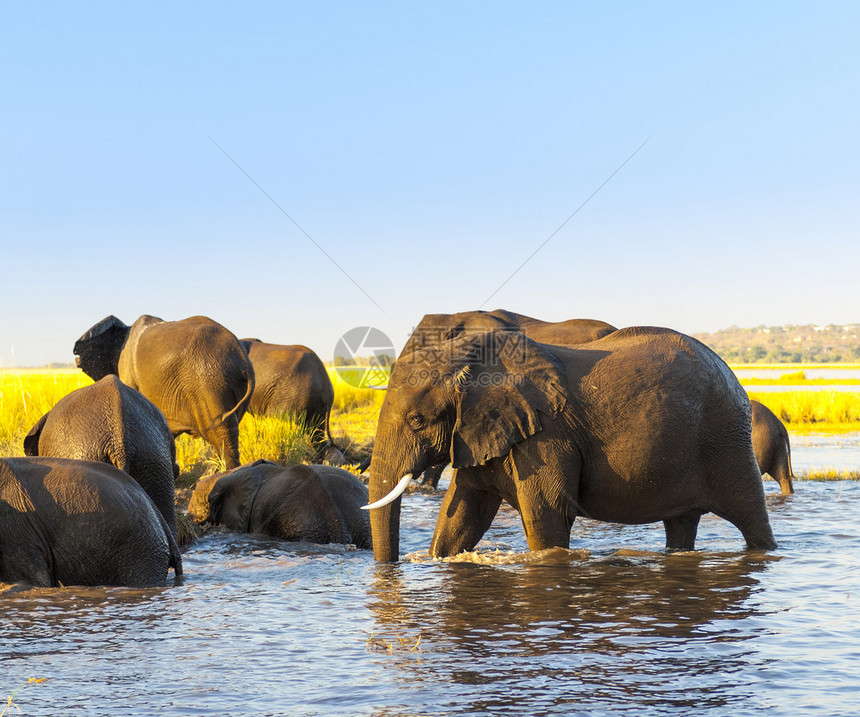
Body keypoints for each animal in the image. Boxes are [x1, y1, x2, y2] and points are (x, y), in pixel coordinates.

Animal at [364, 328, 780, 564]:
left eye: (417, 421)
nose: (389, 569)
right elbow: (462, 513)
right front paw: (437, 559)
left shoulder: (547, 437)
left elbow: (546, 516)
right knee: (681, 524)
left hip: (725, 438)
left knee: (750, 515)